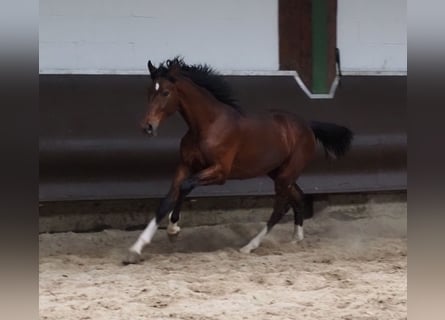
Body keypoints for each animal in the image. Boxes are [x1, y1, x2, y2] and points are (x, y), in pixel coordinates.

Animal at [123, 58, 352, 264]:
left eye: (165, 92)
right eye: (149, 91)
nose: (147, 126)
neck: (208, 125)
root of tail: (307, 125)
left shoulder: (220, 172)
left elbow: (186, 187)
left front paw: (173, 230)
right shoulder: (185, 165)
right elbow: (167, 200)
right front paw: (135, 249)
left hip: (286, 174)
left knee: (280, 207)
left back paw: (250, 246)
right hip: (278, 172)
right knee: (297, 197)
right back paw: (296, 239)